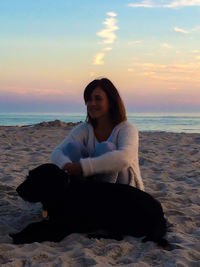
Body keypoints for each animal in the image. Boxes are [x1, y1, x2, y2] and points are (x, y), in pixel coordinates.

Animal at [9, 163, 170, 249]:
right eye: (28, 176)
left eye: (36, 179)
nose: (17, 190)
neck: (64, 192)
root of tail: (159, 213)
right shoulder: (53, 221)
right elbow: (33, 225)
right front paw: (19, 233)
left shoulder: (61, 227)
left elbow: (40, 230)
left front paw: (22, 237)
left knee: (117, 237)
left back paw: (95, 235)